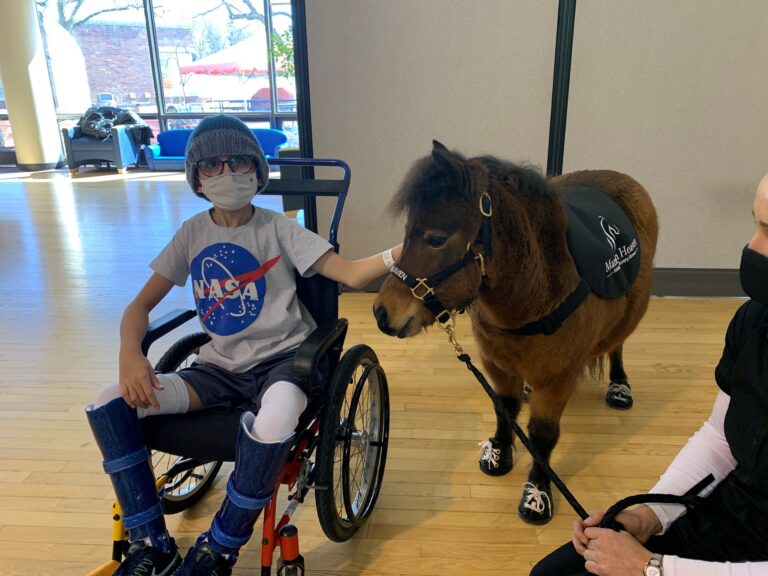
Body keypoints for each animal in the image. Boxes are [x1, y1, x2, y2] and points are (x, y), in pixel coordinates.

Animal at [374, 142, 660, 524]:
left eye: (435, 239)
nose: (381, 312)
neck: (534, 295)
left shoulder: (557, 378)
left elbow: (543, 435)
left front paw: (537, 492)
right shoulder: (494, 363)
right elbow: (504, 407)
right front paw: (499, 452)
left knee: (617, 344)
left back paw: (619, 384)